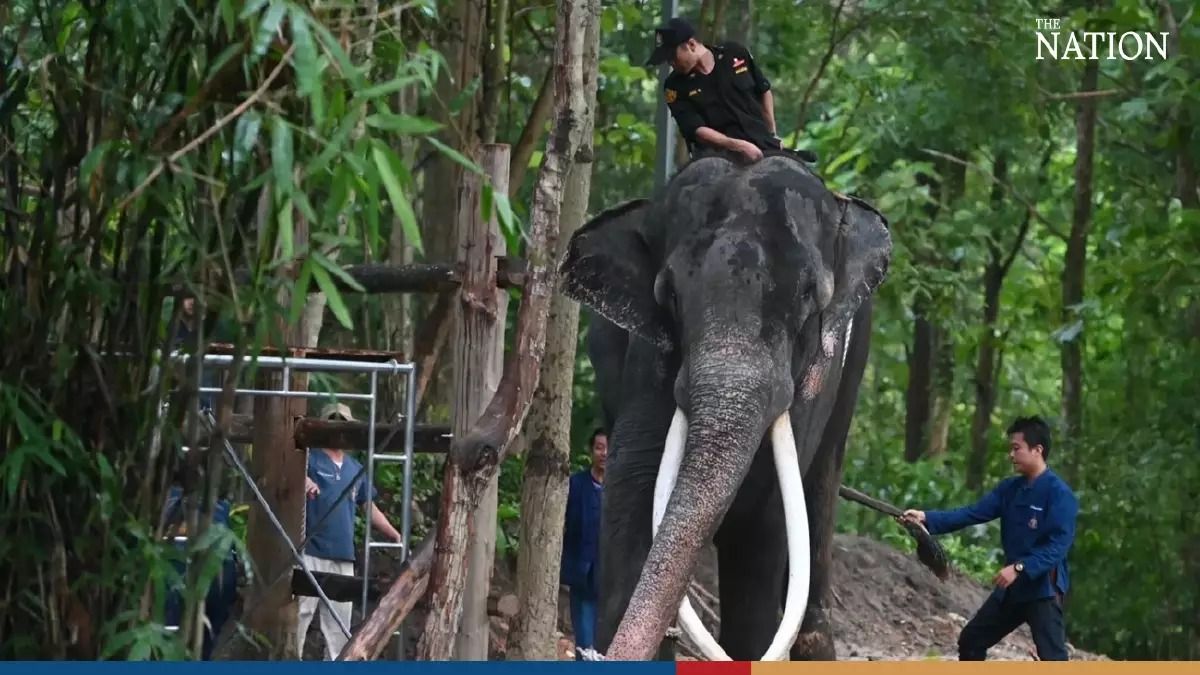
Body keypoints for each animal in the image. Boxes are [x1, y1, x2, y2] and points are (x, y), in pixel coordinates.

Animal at [557, 149, 892, 661]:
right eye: (670, 296)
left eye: (808, 295)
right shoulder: (646, 365)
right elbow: (634, 503)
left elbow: (759, 539)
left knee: (820, 491)